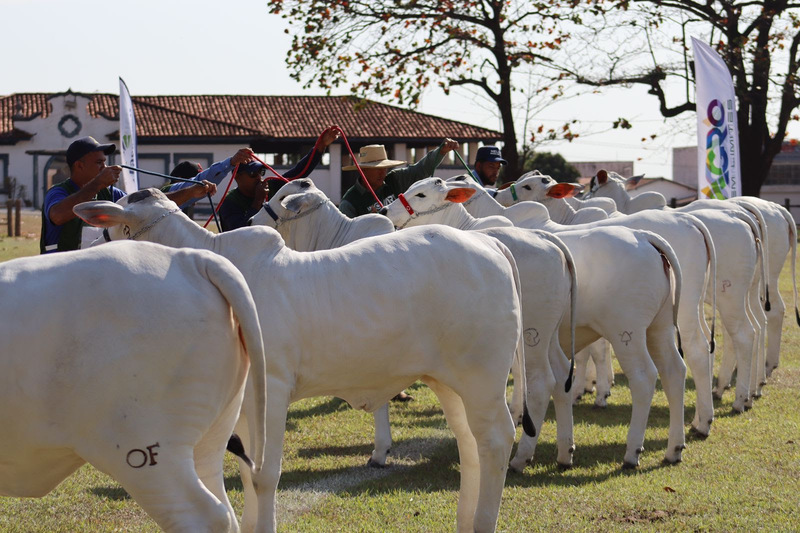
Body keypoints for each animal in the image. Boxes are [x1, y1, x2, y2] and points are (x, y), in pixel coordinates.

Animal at [75, 188, 536, 533]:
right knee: (470, 445)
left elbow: (264, 475)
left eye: (114, 224)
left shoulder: (273, 392)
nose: (89, 249)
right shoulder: (245, 407)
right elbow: (246, 473)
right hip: (449, 381)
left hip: (483, 378)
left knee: (496, 439)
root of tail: (488, 241)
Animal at [382, 179, 688, 470]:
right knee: (674, 370)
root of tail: (645, 237)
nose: (385, 210)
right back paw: (671, 448)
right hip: (658, 327)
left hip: (623, 332)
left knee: (643, 376)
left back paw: (628, 451)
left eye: (421, 193)